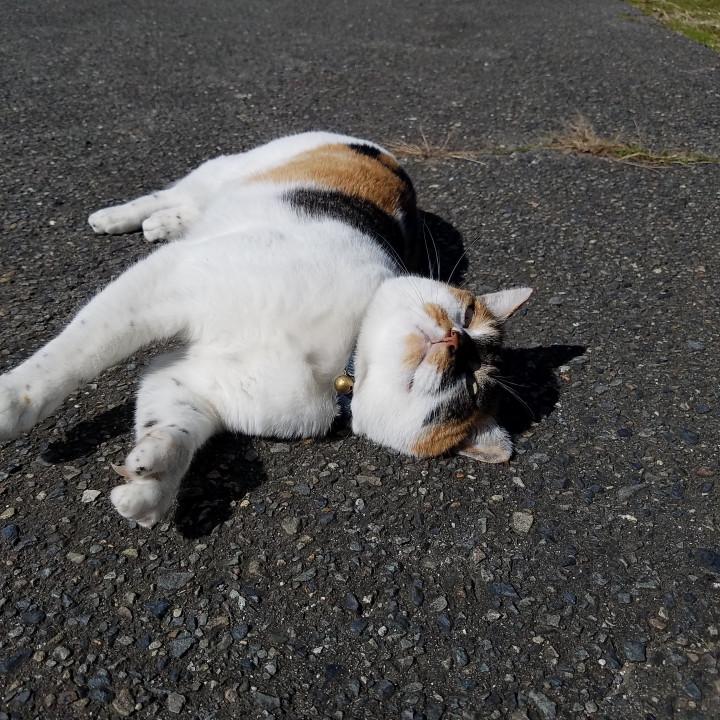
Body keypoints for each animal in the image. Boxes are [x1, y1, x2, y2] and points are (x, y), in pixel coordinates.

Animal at [0, 131, 532, 528]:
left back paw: (162, 224)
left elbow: (172, 427)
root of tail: (384, 151)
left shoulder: (192, 382)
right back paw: (116, 216)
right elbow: (75, 354)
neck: (342, 358)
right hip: (228, 170)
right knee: (174, 192)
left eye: (468, 387)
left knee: (185, 211)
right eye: (467, 317)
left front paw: (149, 487)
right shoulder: (173, 280)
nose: (457, 343)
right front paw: (13, 402)